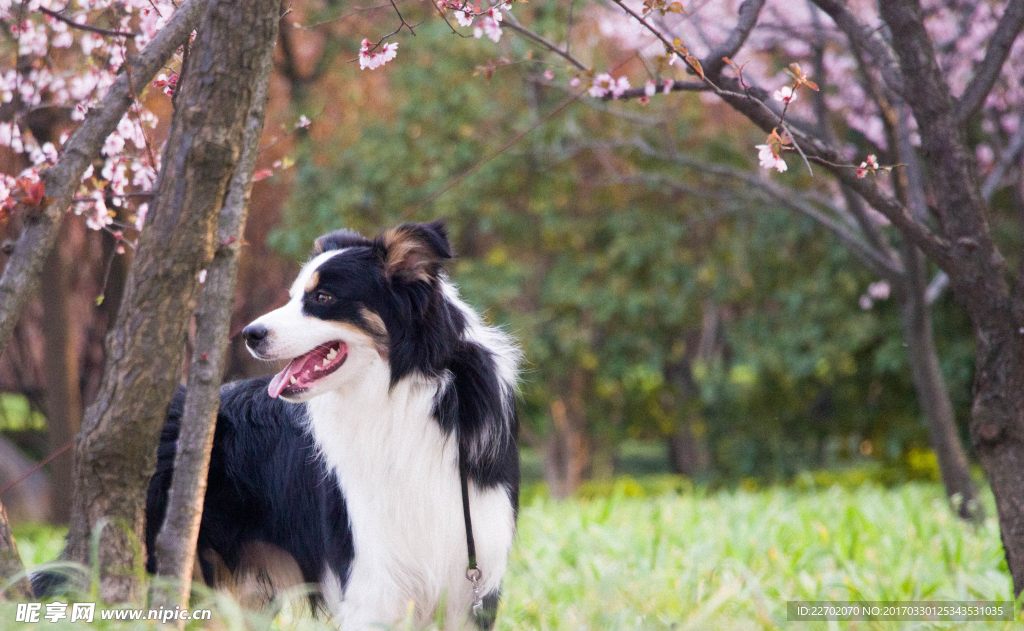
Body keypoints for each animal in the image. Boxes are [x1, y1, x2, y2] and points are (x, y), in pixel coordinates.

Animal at [142, 220, 520, 626]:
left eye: (323, 297)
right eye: (293, 296)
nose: (249, 335)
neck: (402, 396)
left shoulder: (472, 582)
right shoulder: (372, 578)